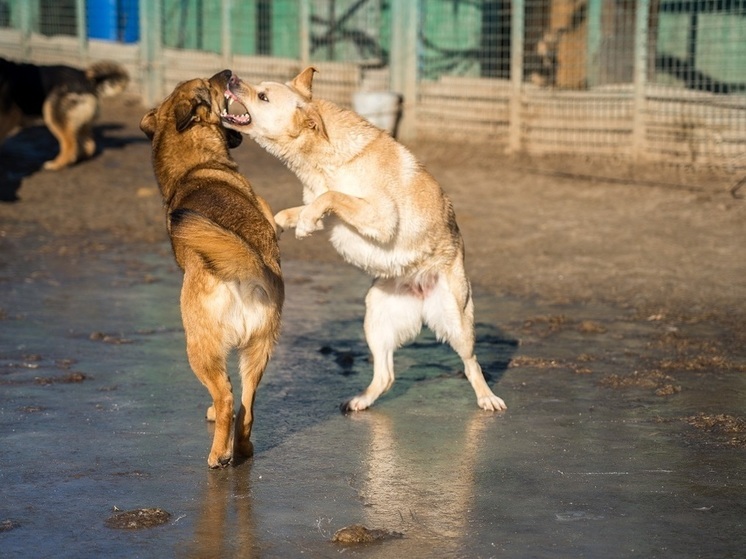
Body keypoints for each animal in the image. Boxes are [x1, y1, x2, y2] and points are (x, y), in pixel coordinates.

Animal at [0, 57, 128, 172]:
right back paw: (77, 159)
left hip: (51, 112)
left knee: (70, 145)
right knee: (89, 145)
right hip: (79, 124)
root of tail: (86, 79)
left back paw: (57, 165)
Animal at [140, 71, 282, 468]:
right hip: (257, 351)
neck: (194, 165)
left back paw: (219, 455)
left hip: (199, 349)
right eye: (211, 85)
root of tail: (245, 270)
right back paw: (241, 449)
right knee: (244, 407)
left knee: (226, 399)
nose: (227, 73)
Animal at [218, 68, 502, 414]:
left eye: (263, 96)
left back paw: (487, 398)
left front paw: (305, 225)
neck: (323, 157)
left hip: (457, 322)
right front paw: (280, 225)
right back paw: (361, 401)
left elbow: (330, 196)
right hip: (375, 318)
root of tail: (420, 292)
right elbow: (294, 210)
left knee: (472, 363)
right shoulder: (327, 210)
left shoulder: (381, 216)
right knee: (386, 375)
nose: (231, 78)